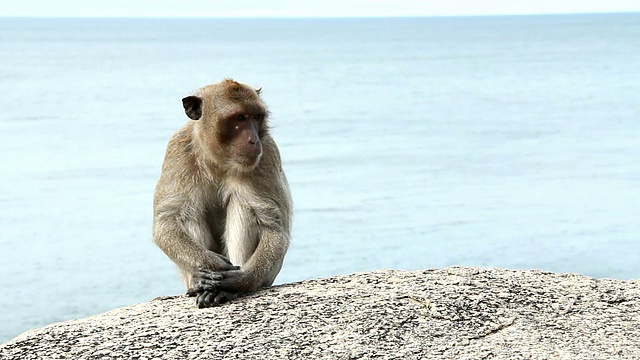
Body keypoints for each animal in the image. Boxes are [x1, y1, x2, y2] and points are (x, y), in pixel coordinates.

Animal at [152, 78, 292, 306]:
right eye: (239, 118)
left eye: (256, 117)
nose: (254, 140)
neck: (217, 160)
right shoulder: (177, 151)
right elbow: (167, 221)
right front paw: (211, 265)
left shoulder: (267, 154)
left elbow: (273, 226)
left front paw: (240, 280)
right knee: (187, 213)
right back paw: (199, 284)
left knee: (244, 206)